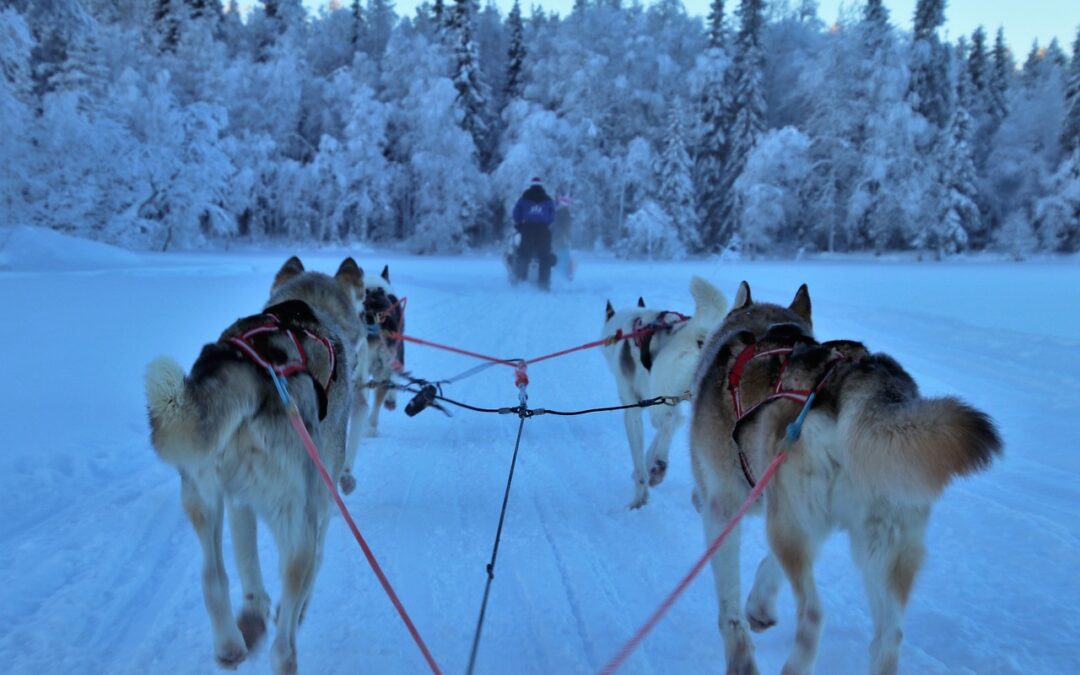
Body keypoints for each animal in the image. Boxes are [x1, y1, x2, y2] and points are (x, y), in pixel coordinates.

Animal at [143, 254, 367, 669]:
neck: (306, 309)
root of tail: (253, 370)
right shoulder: (321, 503)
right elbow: (314, 566)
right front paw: (293, 610)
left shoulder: (238, 503)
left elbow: (247, 565)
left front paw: (253, 612)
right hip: (297, 519)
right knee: (285, 636)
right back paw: (284, 652)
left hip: (202, 496)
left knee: (213, 579)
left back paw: (231, 644)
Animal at [604, 274, 730, 505]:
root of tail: (697, 333)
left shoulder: (634, 409)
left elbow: (641, 455)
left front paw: (640, 495)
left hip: (661, 395)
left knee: (669, 420)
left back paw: (659, 467)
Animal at [686, 280, 997, 673]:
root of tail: (855, 383)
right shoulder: (798, 516)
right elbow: (768, 566)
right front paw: (760, 605)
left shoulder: (724, 510)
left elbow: (729, 607)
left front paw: (742, 652)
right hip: (877, 545)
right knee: (889, 637)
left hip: (792, 527)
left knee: (814, 615)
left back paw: (796, 665)